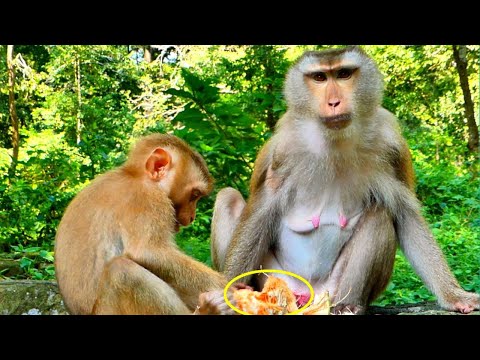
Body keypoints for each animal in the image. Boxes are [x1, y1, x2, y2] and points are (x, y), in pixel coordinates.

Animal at [55, 134, 235, 314]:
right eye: (194, 195)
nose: (192, 217)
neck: (135, 175)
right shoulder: (147, 198)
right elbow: (147, 252)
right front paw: (229, 287)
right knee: (123, 271)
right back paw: (207, 310)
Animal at [212, 45, 480, 316]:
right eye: (320, 77)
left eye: (343, 74)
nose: (333, 102)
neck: (335, 140)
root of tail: (308, 295)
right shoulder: (283, 150)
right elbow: (260, 213)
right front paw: (224, 296)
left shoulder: (391, 146)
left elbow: (406, 216)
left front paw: (455, 296)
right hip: (276, 279)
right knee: (228, 197)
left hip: (332, 288)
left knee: (380, 215)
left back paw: (349, 304)